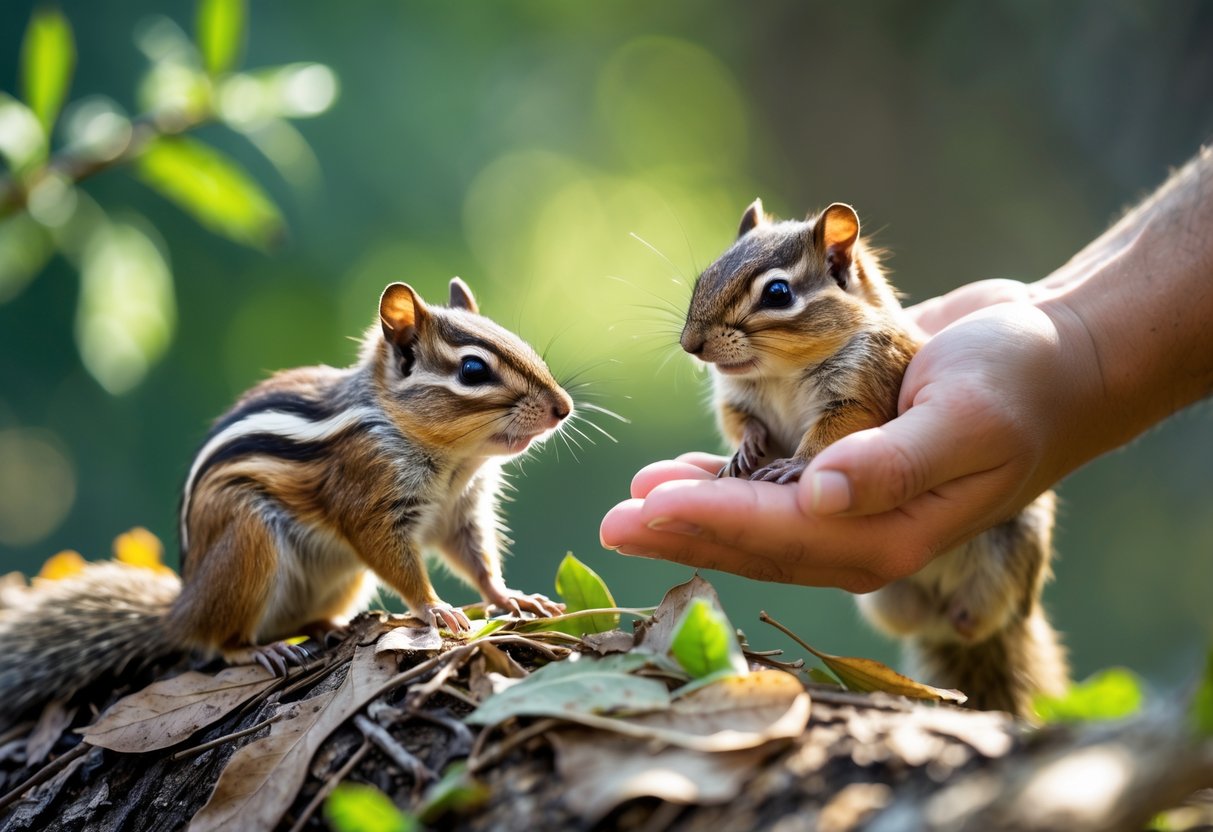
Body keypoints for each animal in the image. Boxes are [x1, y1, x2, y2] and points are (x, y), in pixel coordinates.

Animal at [0, 278, 570, 726]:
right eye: (473, 370)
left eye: (519, 342)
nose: (562, 408)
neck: (454, 460)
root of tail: (181, 606)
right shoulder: (368, 496)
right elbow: (393, 557)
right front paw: (435, 607)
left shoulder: (460, 512)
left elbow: (476, 559)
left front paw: (512, 597)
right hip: (247, 541)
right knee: (217, 640)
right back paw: (259, 649)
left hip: (340, 580)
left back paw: (330, 627)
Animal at [680, 199, 1068, 717]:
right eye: (705, 276)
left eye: (778, 293)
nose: (690, 345)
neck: (782, 373)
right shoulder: (738, 399)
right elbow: (741, 423)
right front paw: (745, 451)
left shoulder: (865, 388)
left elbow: (836, 431)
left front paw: (796, 464)